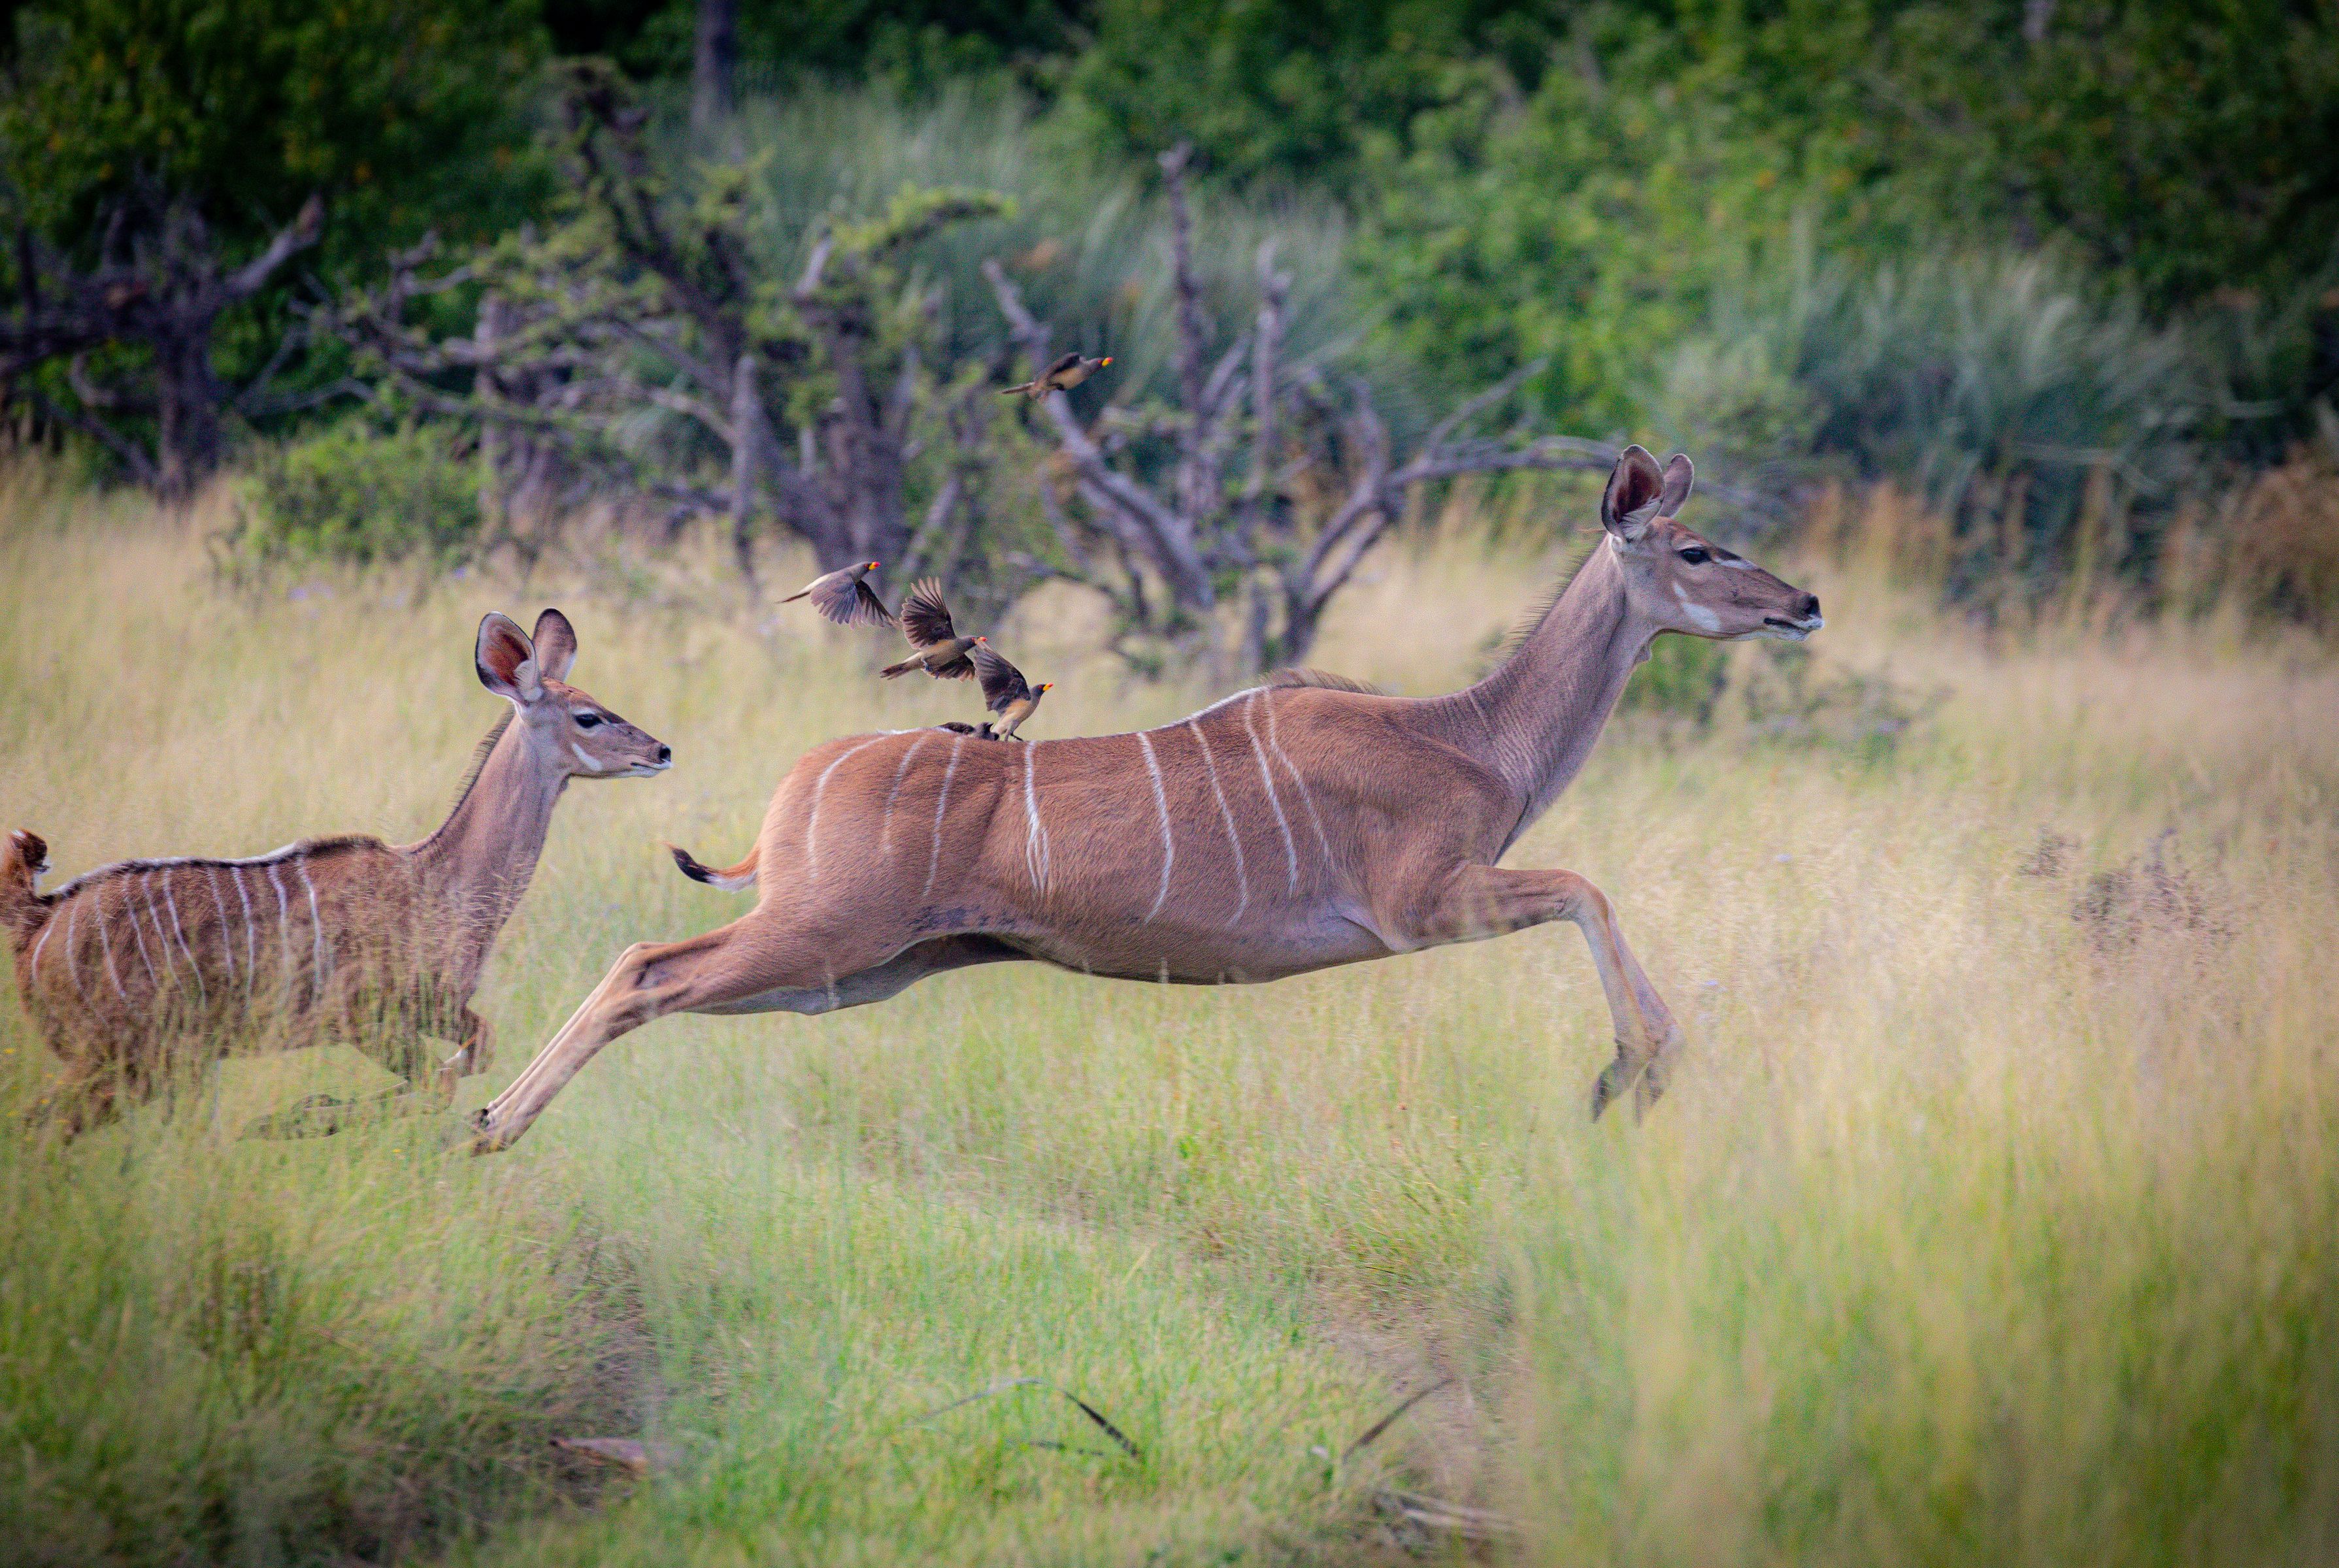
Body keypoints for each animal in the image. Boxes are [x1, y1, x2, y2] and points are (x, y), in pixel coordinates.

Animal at [1, 609, 671, 1133]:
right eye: (588, 716)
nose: (661, 750)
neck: (441, 884)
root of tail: (38, 920)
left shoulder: (441, 1009)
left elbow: (472, 1059)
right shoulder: (364, 1018)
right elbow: (439, 1083)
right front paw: (290, 1119)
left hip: (153, 1066)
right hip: (123, 1059)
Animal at [470, 447, 1822, 1152]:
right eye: (1695, 549)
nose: (1803, 602)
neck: (1469, 734)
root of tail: (796, 792)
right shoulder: (1425, 905)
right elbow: (1588, 891)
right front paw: (1627, 1072)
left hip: (860, 968)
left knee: (652, 971)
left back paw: (481, 1116)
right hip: (820, 934)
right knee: (644, 966)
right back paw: (484, 1127)